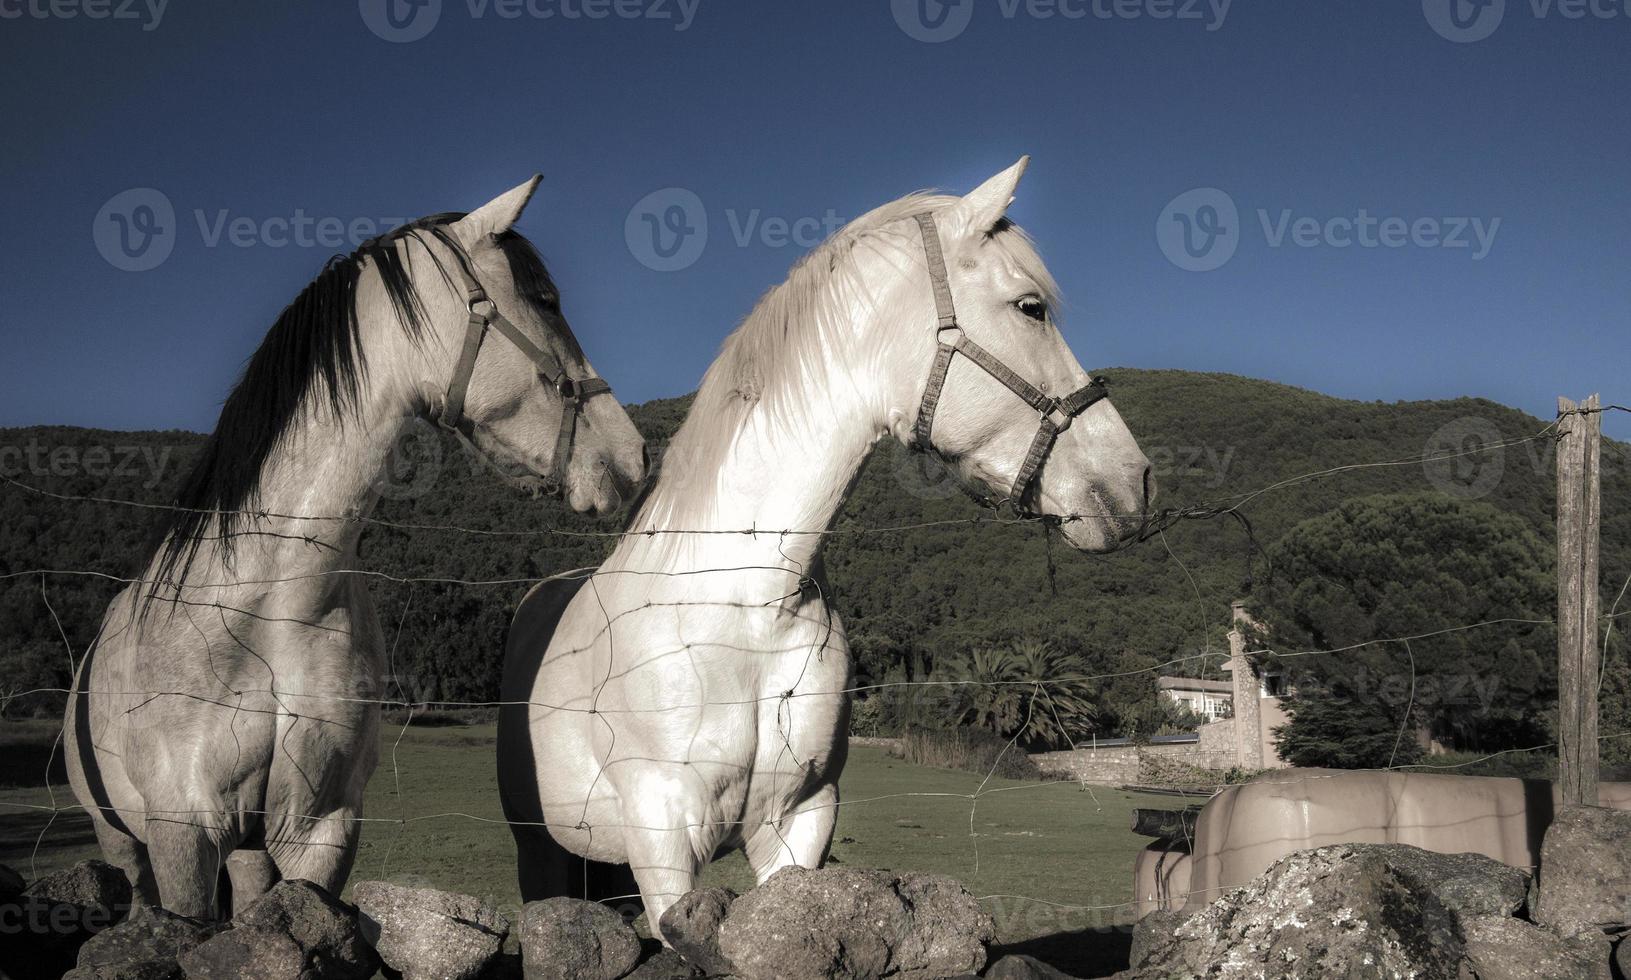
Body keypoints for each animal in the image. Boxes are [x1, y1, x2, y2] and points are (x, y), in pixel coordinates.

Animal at [66, 177, 645, 919]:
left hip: (250, 849)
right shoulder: (182, 832)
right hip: (123, 844)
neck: (264, 604)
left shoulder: (321, 827)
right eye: (545, 300)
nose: (632, 454)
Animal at [502, 158, 1154, 932]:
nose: (1135, 481)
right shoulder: (664, 841)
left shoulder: (800, 821)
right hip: (541, 849)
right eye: (1031, 308)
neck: (745, 607)